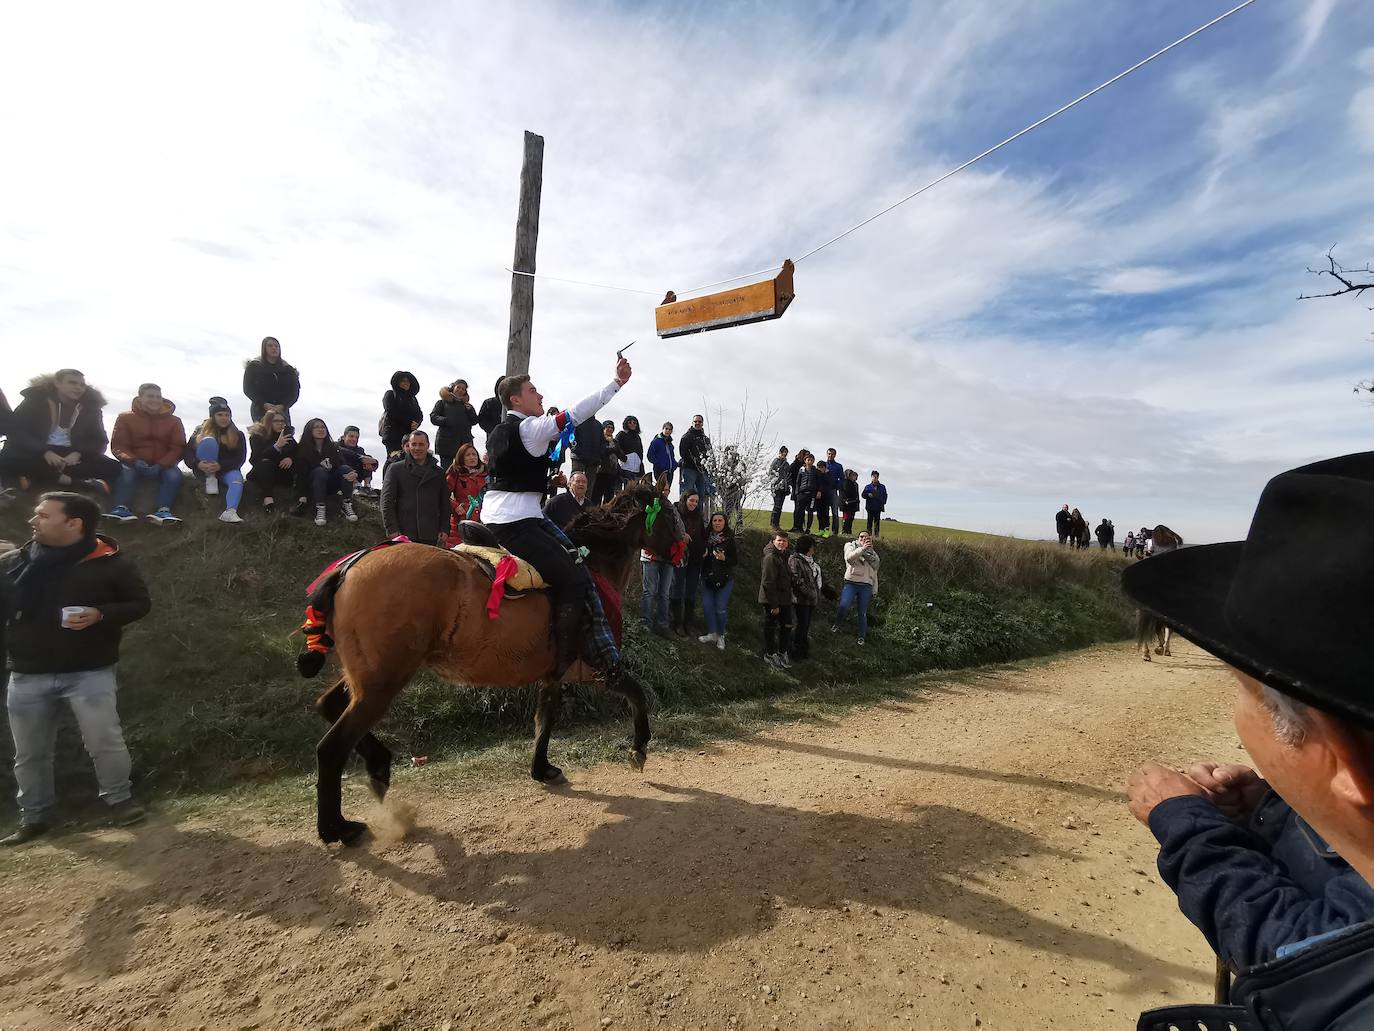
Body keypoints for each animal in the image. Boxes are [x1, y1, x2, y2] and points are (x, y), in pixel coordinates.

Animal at [299, 483, 687, 846]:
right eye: (671, 513)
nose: (685, 547)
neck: (593, 563)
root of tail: (350, 568)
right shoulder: (597, 667)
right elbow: (635, 692)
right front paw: (639, 747)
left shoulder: (553, 674)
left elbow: (545, 718)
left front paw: (541, 769)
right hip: (383, 682)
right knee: (331, 748)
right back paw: (336, 827)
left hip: (369, 676)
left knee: (328, 705)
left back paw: (378, 766)